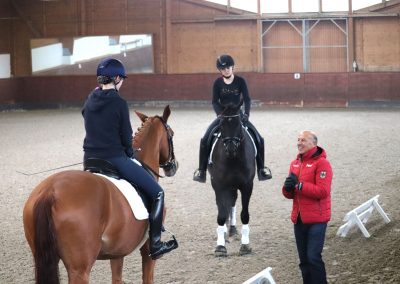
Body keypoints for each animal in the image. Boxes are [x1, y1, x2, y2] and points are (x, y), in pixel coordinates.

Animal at [22, 105, 178, 282]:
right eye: (171, 134)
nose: (173, 166)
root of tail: (50, 191)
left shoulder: (117, 252)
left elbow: (117, 279)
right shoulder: (147, 251)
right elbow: (147, 278)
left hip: (42, 257)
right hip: (79, 269)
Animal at [208, 103, 255, 258]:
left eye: (239, 124)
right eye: (222, 124)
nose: (231, 149)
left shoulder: (247, 186)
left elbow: (244, 214)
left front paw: (245, 245)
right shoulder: (219, 185)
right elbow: (221, 214)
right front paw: (220, 246)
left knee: (232, 202)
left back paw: (232, 230)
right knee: (223, 205)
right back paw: (224, 232)